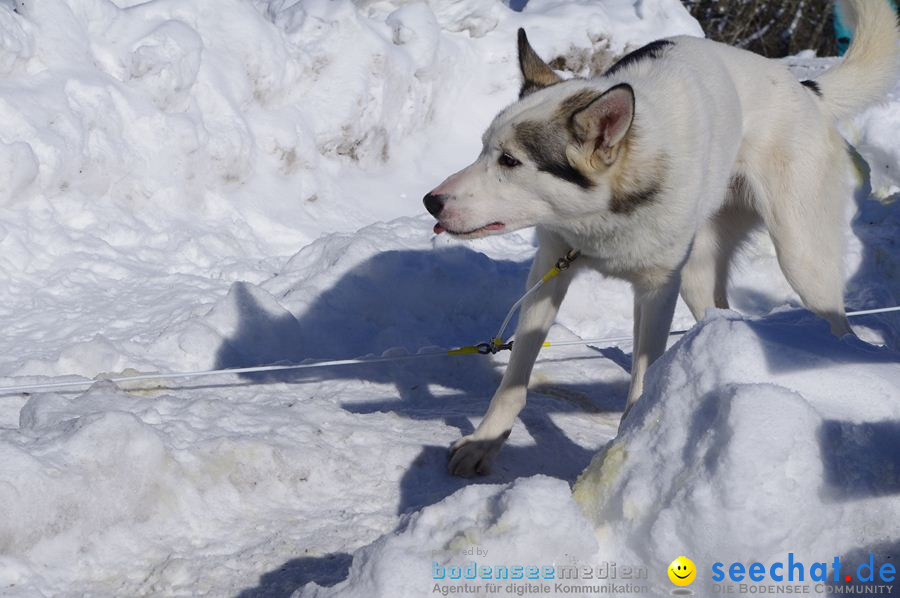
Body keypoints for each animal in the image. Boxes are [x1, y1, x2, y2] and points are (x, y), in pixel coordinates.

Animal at [424, 0, 900, 478]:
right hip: (697, 275)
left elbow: (641, 382)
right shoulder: (550, 271)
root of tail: (805, 89)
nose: (431, 201)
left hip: (800, 259)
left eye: (509, 160)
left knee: (837, 321)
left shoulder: (656, 292)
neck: (608, 216)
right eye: (483, 149)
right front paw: (485, 442)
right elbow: (514, 379)